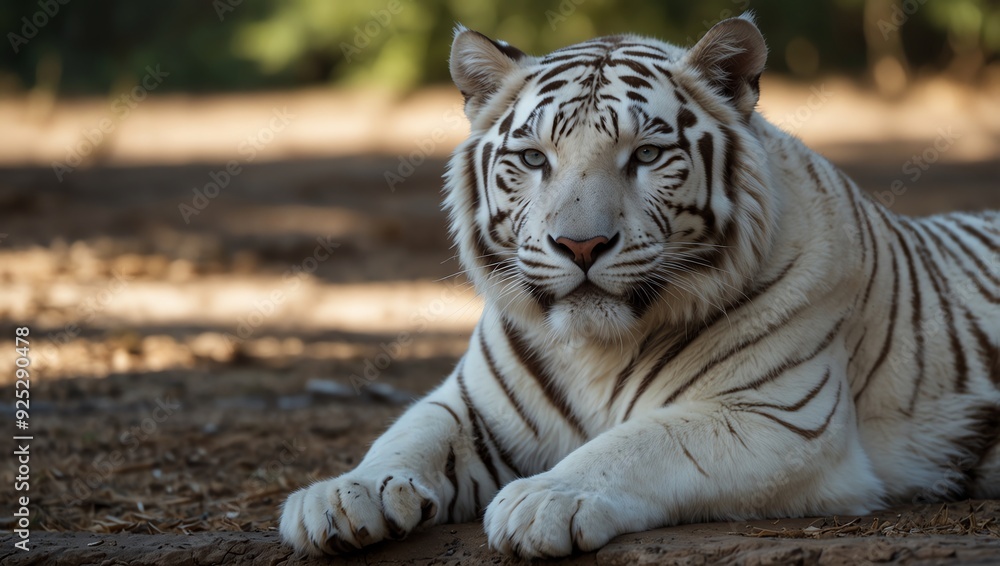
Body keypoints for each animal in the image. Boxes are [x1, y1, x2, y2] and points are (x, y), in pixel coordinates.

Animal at [279, 14, 1000, 558]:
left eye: (647, 155)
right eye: (534, 158)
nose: (581, 245)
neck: (596, 348)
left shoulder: (782, 417)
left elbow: (641, 443)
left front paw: (544, 500)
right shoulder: (472, 407)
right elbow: (406, 434)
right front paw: (342, 495)